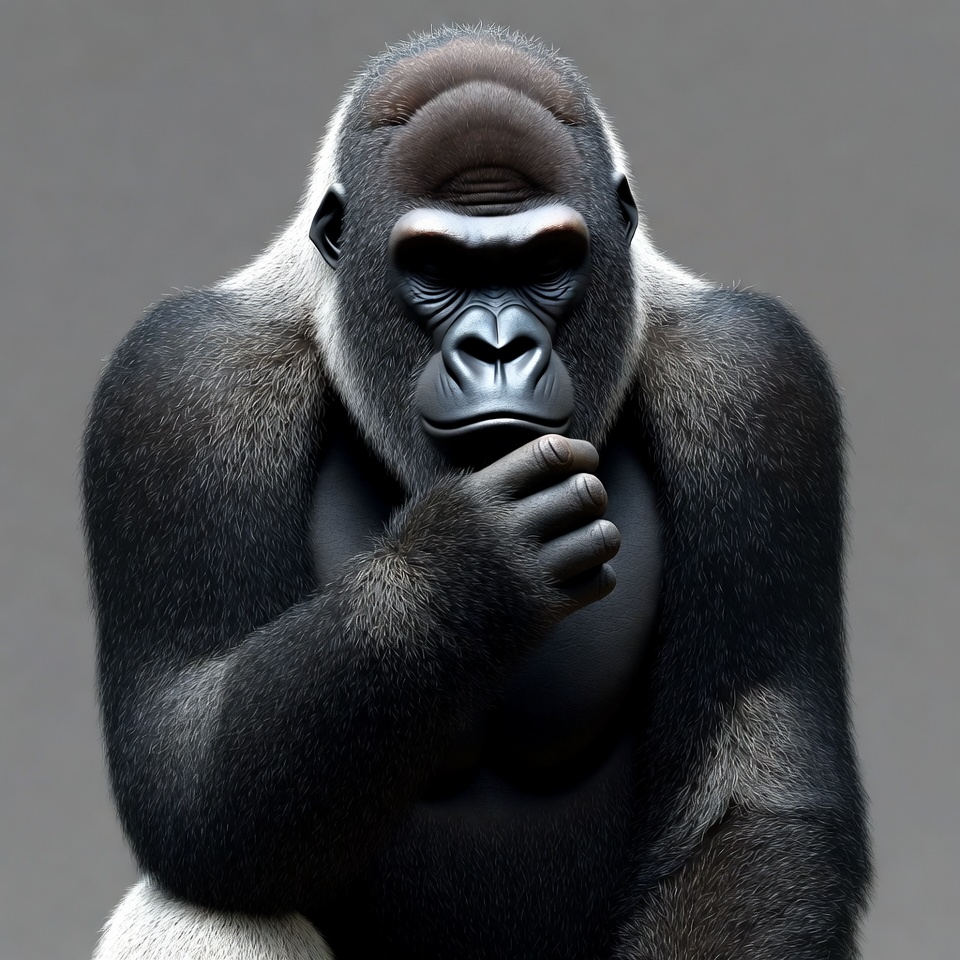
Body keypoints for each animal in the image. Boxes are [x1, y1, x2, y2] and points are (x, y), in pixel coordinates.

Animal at [85, 24, 870, 960]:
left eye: (547, 262)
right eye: (435, 266)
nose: (498, 348)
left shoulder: (755, 376)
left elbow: (753, 806)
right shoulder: (182, 383)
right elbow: (189, 774)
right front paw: (462, 570)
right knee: (212, 903)